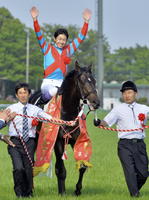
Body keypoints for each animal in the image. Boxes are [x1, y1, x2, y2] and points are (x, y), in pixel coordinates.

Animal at [29, 61, 99, 195]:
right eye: (82, 82)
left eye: (94, 81)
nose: (96, 102)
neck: (67, 114)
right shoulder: (58, 142)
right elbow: (61, 169)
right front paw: (62, 192)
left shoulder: (77, 140)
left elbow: (82, 166)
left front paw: (77, 190)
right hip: (34, 138)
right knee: (31, 161)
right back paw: (31, 188)